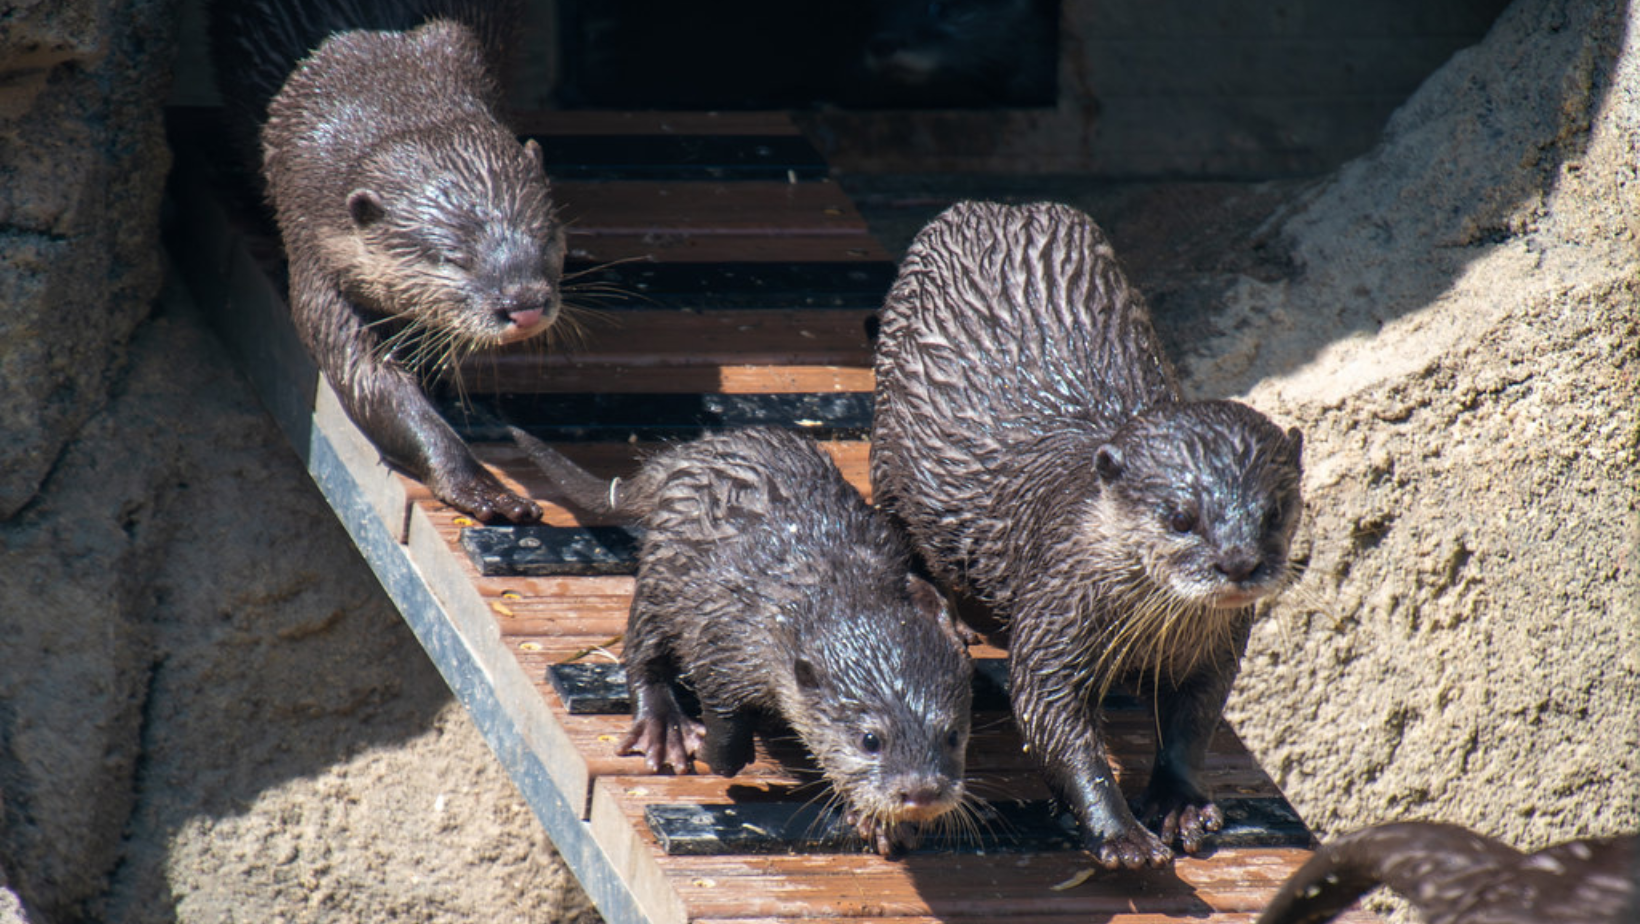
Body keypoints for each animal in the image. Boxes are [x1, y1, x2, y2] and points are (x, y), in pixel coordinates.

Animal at [216, 0, 564, 522]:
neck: (383, 72)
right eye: (454, 259)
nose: (523, 305)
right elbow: (369, 378)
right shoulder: (317, 253)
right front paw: (481, 488)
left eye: (544, 238)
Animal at [511, 426, 975, 856]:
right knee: (643, 645)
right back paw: (664, 728)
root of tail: (688, 453)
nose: (922, 792)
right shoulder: (723, 641)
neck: (831, 583)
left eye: (953, 735)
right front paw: (718, 756)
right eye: (870, 740)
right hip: (662, 572)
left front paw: (876, 819)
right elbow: (724, 718)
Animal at [870, 201, 1305, 869]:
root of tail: (998, 209)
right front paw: (1120, 833)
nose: (1237, 563)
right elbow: (1052, 720)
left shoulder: (1218, 645)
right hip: (887, 448)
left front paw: (1179, 802)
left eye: (1274, 512)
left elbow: (1195, 719)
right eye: (1180, 516)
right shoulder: (1055, 619)